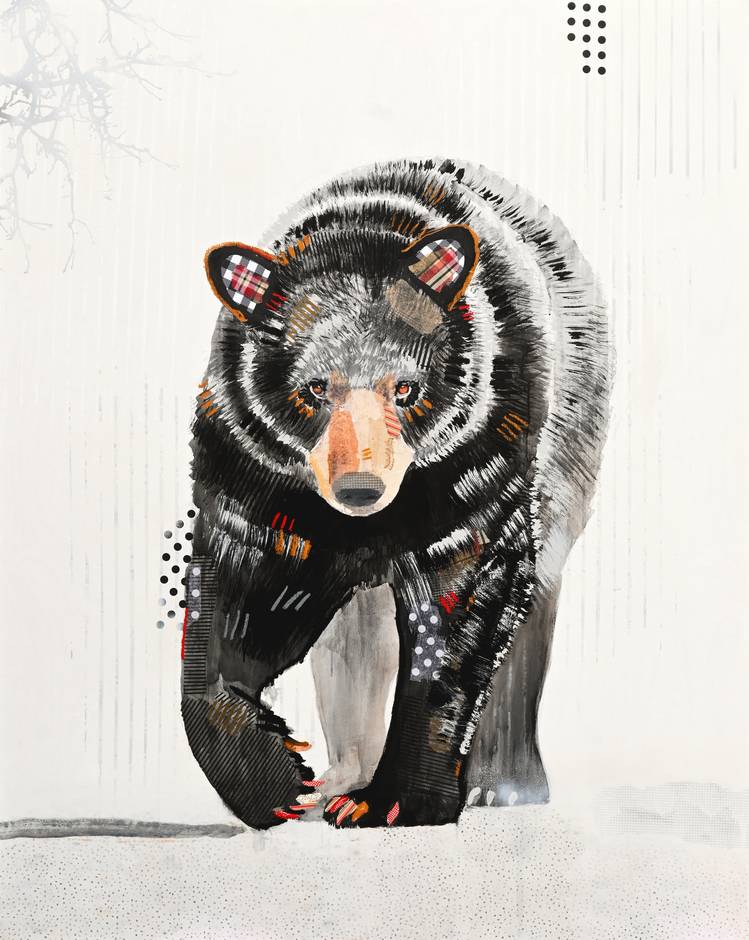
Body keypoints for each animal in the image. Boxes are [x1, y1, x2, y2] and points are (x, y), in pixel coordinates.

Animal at [181, 158, 612, 829]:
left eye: (406, 388)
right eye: (315, 387)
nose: (361, 487)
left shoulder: (470, 469)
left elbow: (458, 608)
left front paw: (396, 800)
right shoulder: (261, 477)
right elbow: (242, 603)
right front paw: (277, 781)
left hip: (570, 452)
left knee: (532, 606)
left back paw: (504, 783)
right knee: (355, 646)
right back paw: (340, 775)